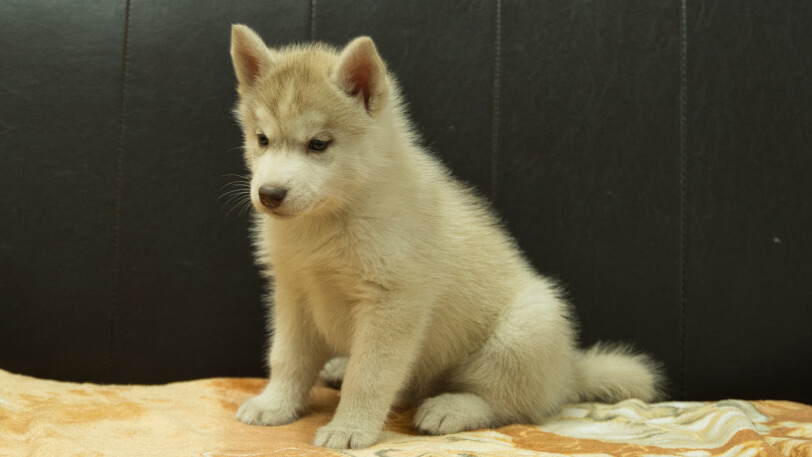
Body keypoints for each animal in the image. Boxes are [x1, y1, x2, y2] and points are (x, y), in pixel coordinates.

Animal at [229, 24, 663, 449]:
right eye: (262, 139)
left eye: (318, 144)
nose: (269, 194)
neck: (328, 220)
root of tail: (569, 370)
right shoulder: (294, 294)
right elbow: (287, 358)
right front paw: (275, 404)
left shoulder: (393, 303)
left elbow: (369, 376)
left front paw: (350, 427)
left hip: (525, 329)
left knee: (511, 404)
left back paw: (451, 409)